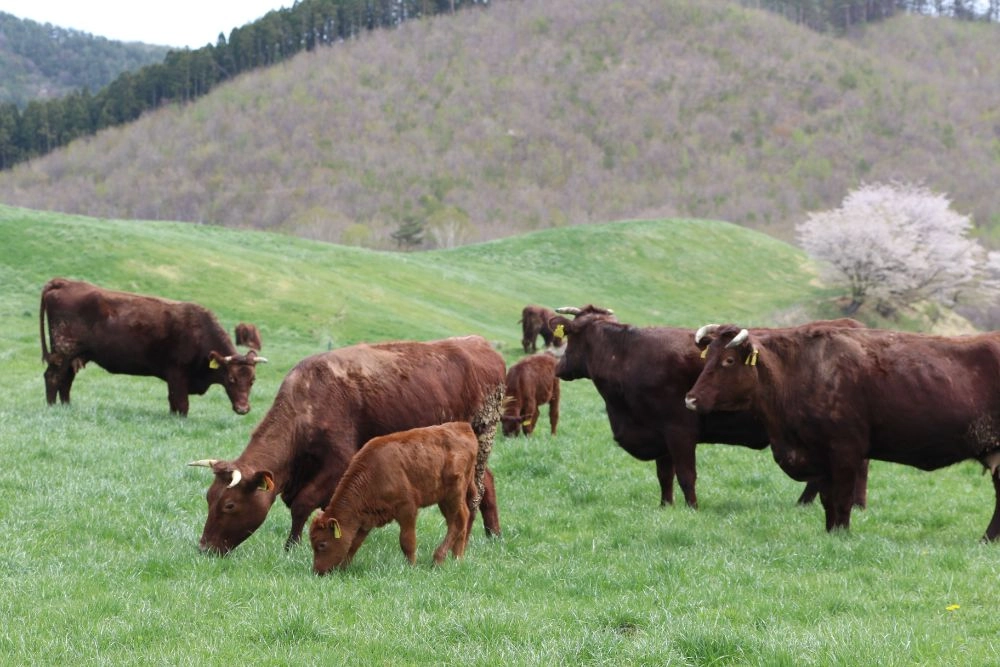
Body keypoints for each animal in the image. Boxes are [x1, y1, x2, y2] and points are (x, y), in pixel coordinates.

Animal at [39, 278, 266, 418]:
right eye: (231, 379)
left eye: (252, 380)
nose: (243, 408)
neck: (200, 332)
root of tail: (64, 283)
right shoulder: (177, 375)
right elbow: (181, 404)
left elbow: (173, 403)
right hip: (62, 353)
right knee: (53, 377)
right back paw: (51, 407)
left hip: (73, 357)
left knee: (66, 381)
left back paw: (66, 407)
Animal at [187, 336, 504, 556]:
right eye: (208, 497)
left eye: (229, 505)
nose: (204, 548)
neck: (308, 400)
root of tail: (480, 345)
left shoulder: (340, 462)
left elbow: (302, 504)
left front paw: (291, 547)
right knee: (487, 484)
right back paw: (494, 536)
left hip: (482, 438)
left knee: (474, 494)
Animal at [310, 422, 478, 576]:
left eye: (322, 544)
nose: (317, 571)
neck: (373, 473)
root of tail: (463, 426)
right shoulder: (366, 520)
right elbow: (353, 544)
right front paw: (343, 569)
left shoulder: (407, 509)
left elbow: (407, 541)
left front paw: (412, 567)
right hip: (444, 499)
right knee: (457, 522)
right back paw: (457, 559)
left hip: (454, 494)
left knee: (459, 521)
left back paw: (438, 558)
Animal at [688, 324, 1000, 544]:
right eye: (707, 357)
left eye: (728, 360)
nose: (690, 399)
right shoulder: (821, 458)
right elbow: (828, 500)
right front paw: (830, 533)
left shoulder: (845, 452)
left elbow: (842, 499)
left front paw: (842, 535)